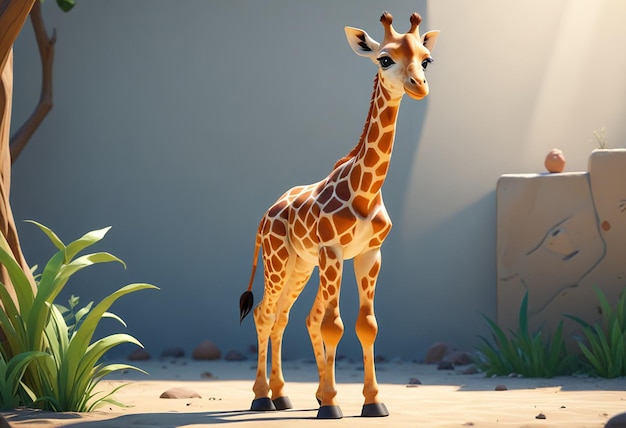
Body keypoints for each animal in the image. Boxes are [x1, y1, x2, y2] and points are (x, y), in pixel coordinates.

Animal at [239, 11, 438, 420]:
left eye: (426, 60)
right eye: (384, 59)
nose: (419, 86)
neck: (366, 191)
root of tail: (265, 216)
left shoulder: (369, 254)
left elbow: (365, 325)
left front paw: (371, 401)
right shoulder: (332, 251)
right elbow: (334, 324)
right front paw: (333, 403)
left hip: (301, 265)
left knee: (288, 317)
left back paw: (285, 394)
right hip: (277, 261)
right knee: (265, 314)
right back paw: (262, 396)